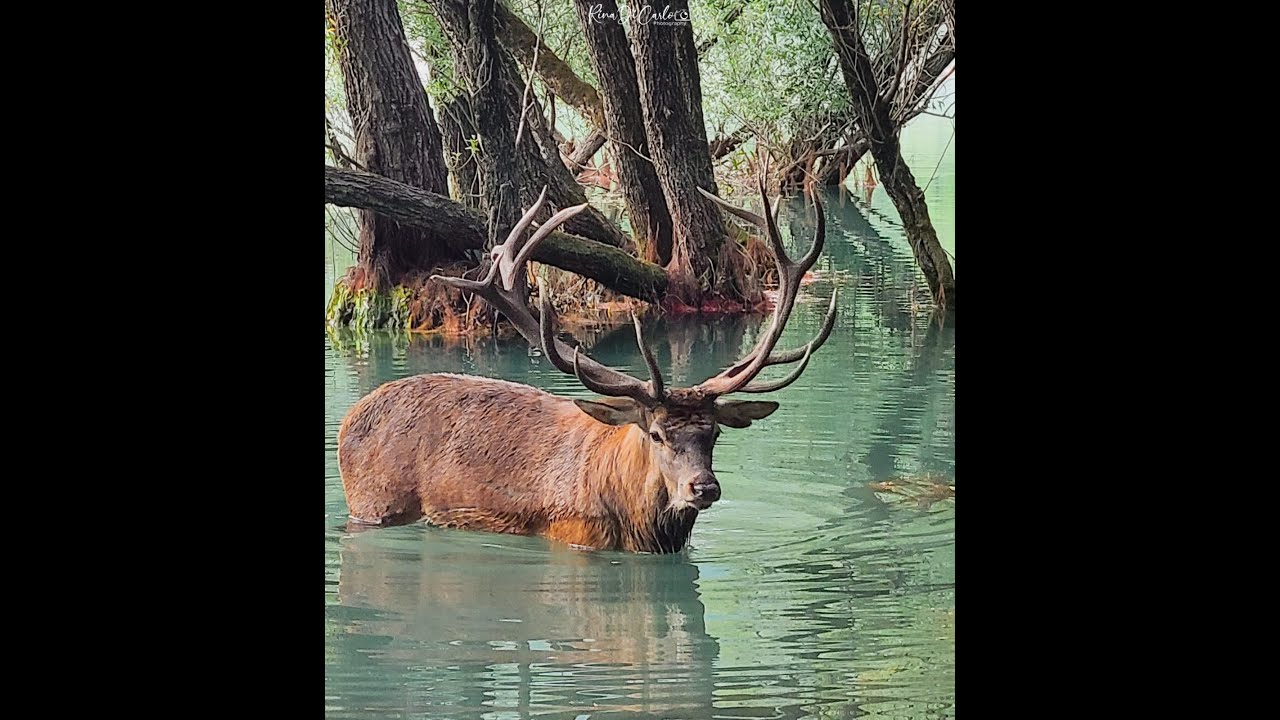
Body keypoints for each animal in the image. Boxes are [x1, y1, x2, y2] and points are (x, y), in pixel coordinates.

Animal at [337, 181, 837, 553]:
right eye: (656, 434)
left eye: (713, 433)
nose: (704, 488)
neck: (641, 530)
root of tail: (347, 420)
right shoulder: (574, 535)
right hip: (373, 502)